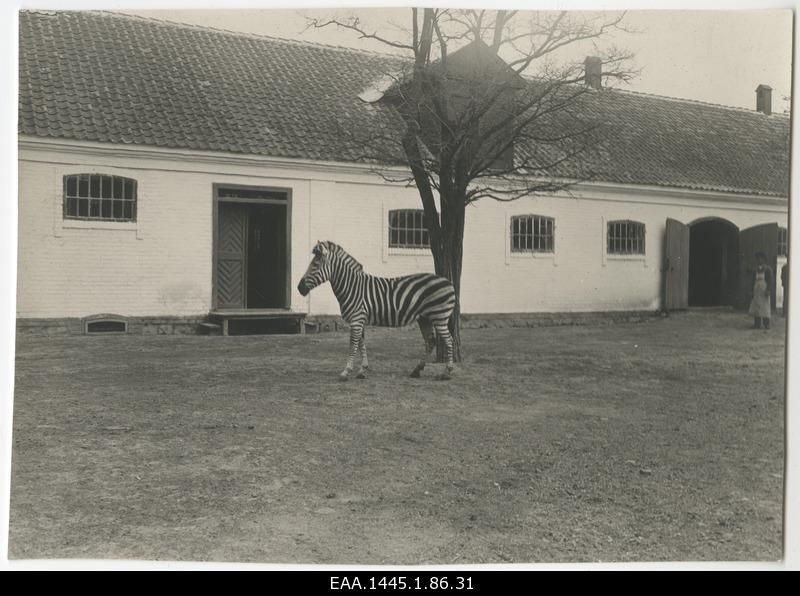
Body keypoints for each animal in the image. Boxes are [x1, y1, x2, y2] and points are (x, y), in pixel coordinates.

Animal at [297, 241, 457, 381]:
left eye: (315, 265)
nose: (299, 288)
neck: (351, 286)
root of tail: (449, 282)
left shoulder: (356, 320)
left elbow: (353, 345)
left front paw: (346, 372)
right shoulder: (360, 320)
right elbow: (361, 344)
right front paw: (362, 370)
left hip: (439, 317)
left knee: (449, 340)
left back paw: (446, 373)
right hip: (424, 318)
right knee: (430, 341)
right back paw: (417, 370)